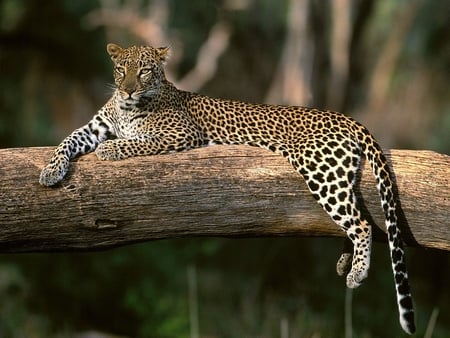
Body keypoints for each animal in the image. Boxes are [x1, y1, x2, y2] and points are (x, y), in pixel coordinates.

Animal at [40, 43, 416, 334]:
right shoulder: (93, 128)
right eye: (121, 69)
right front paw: (49, 172)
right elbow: (67, 140)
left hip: (320, 170)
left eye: (145, 71)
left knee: (362, 223)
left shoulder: (179, 134)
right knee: (354, 215)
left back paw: (357, 273)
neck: (126, 107)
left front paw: (110, 150)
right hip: (336, 173)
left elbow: (135, 142)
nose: (128, 89)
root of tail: (345, 117)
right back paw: (343, 262)